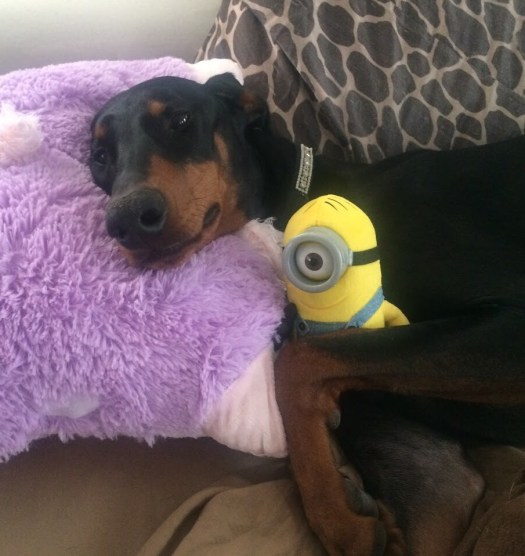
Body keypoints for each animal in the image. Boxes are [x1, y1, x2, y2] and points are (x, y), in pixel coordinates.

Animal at [89, 73, 525, 556]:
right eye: (99, 157)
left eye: (180, 120)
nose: (127, 219)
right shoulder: (440, 484)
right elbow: (440, 492)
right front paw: (346, 509)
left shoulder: (512, 327)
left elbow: (296, 361)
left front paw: (336, 517)